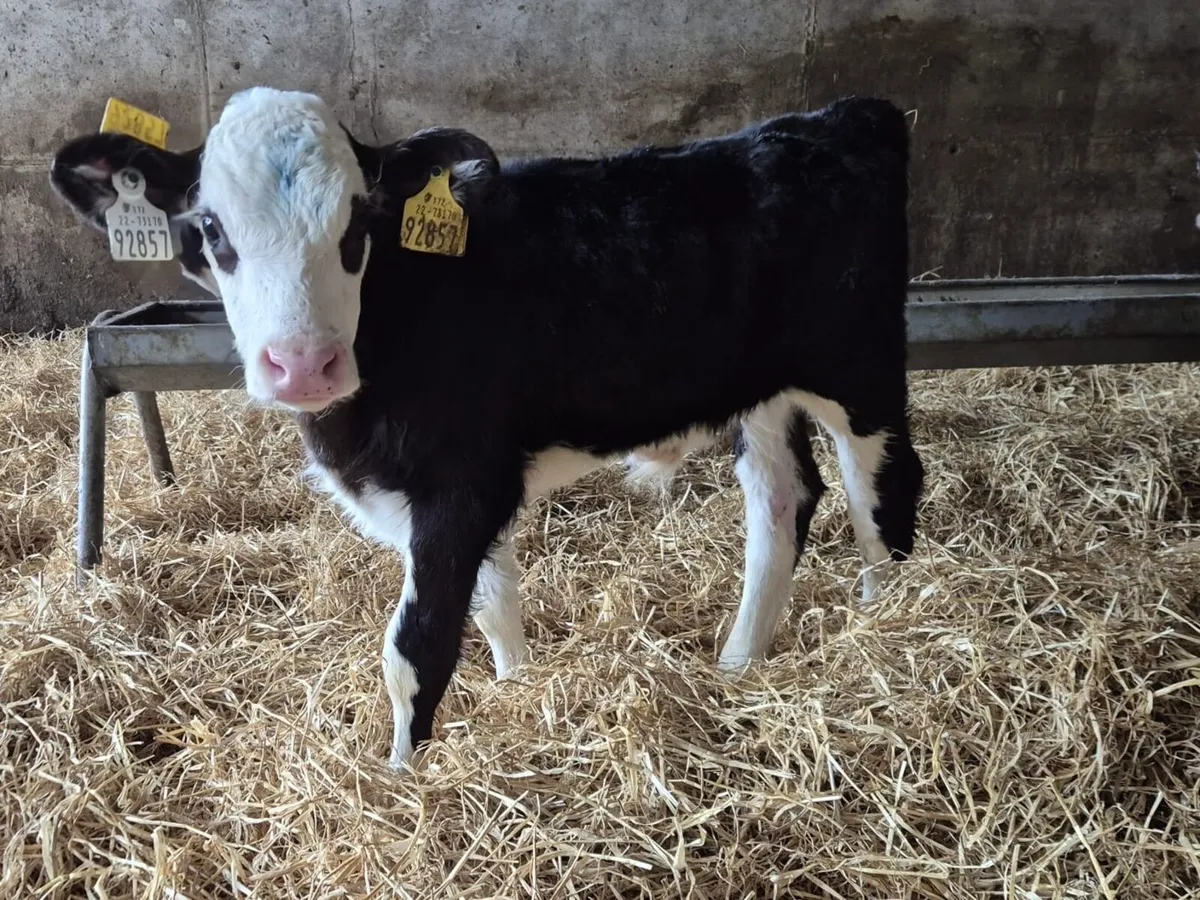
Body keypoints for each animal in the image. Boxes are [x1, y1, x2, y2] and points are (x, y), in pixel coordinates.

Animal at [50, 87, 924, 769]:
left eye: (359, 226)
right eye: (211, 229)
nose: (303, 365)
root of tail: (839, 118)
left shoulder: (461, 482)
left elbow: (418, 647)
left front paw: (402, 782)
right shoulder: (460, 486)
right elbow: (496, 607)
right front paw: (518, 695)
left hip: (861, 369)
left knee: (883, 495)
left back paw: (886, 630)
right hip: (761, 395)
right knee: (783, 502)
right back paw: (740, 665)